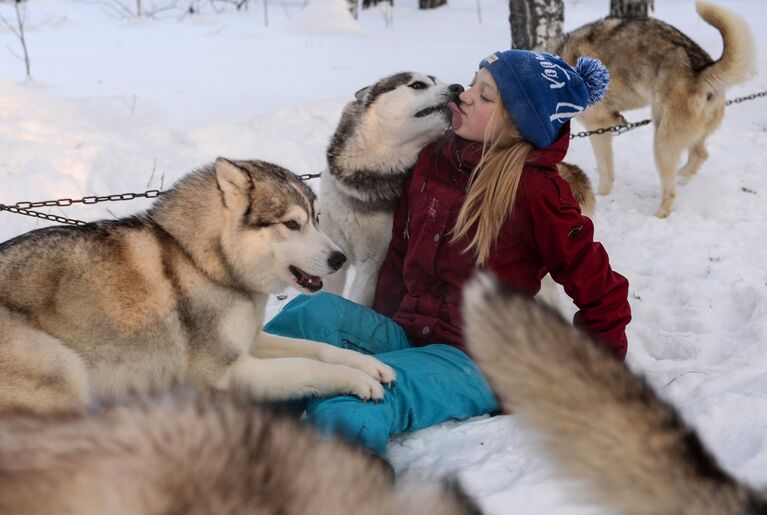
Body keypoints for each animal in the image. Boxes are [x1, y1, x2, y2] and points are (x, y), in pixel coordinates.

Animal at [0, 158, 396, 416]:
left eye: (316, 219)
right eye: (291, 224)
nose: (339, 259)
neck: (204, 262)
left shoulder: (251, 341)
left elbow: (317, 349)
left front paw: (369, 365)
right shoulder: (227, 372)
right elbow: (306, 367)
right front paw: (358, 381)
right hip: (63, 372)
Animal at [320, 72, 596, 306]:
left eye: (440, 82)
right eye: (417, 85)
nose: (457, 88)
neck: (367, 176)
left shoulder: (373, 265)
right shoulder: (335, 256)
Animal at [552, 0, 756, 218]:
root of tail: (700, 71)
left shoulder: (598, 126)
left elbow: (605, 171)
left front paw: (602, 197)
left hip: (662, 143)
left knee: (672, 189)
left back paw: (659, 214)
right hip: (666, 124)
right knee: (700, 155)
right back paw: (682, 176)